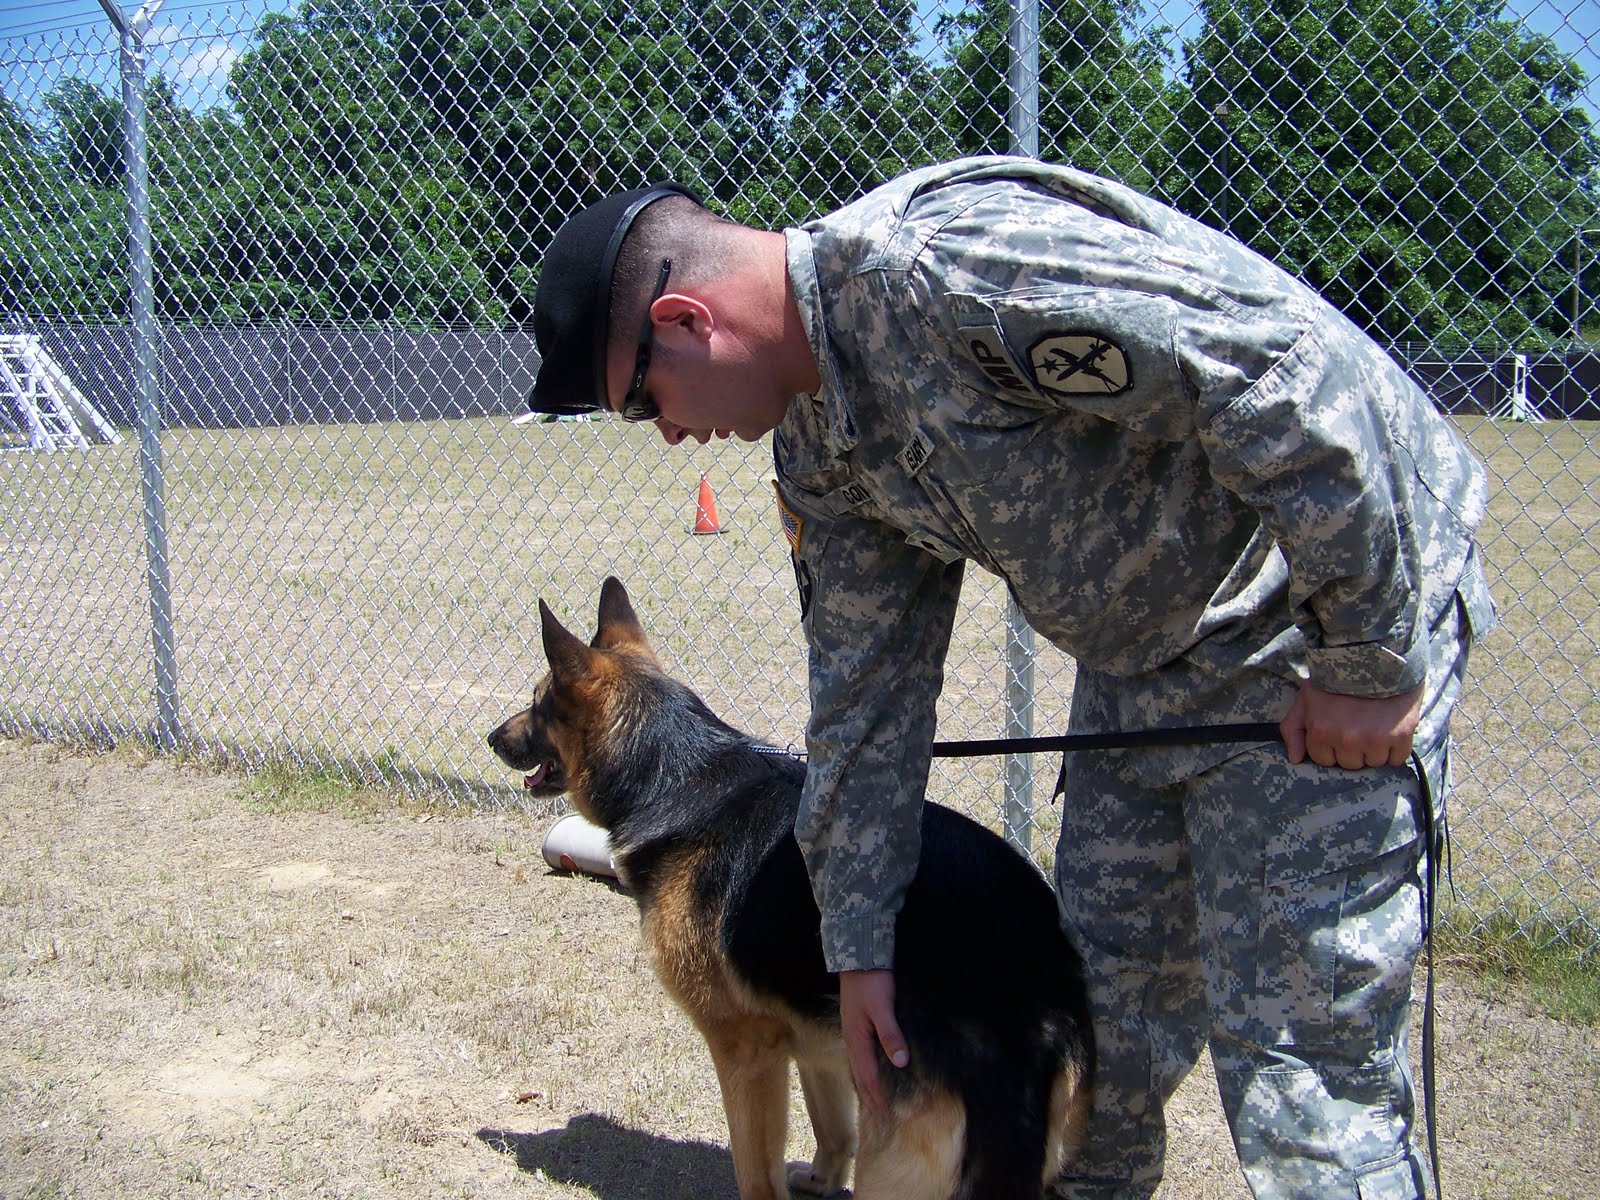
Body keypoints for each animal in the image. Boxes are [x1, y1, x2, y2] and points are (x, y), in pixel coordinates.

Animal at [483, 579, 1088, 1196]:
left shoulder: (745, 1051)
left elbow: (756, 1172)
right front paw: (822, 1179)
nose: (490, 737)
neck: (673, 778)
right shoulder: (817, 1038)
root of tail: (1033, 1002)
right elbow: (831, 1124)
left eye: (538, 702)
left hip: (893, 1162)